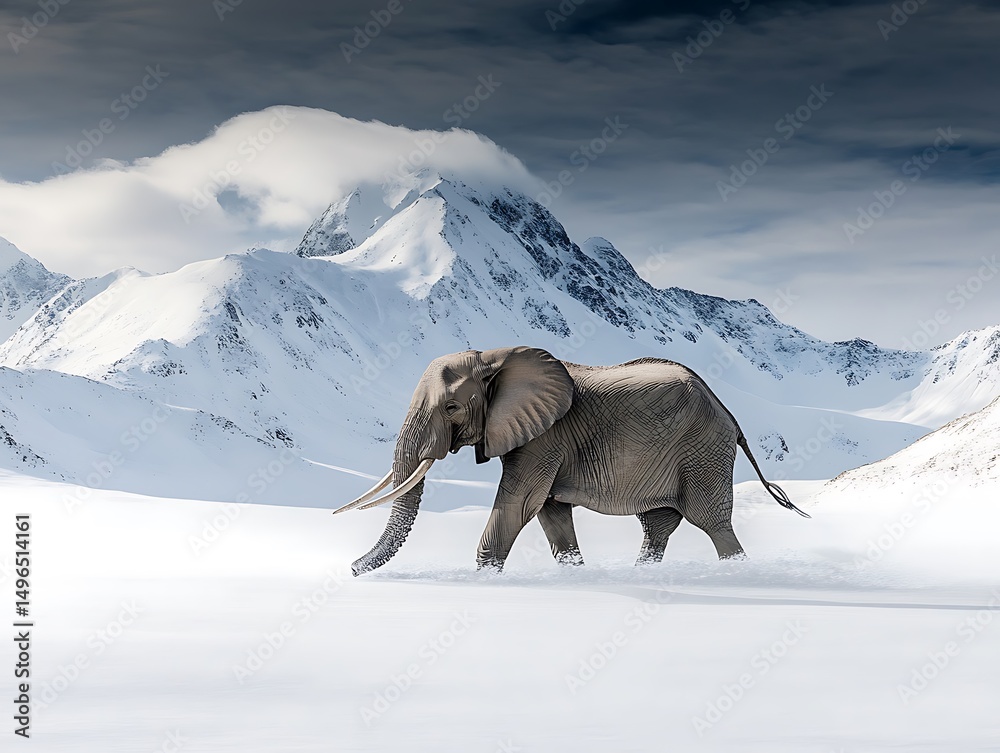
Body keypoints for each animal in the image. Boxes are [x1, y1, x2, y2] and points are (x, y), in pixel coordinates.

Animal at [335, 347, 809, 576]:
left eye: (451, 408)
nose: (351, 570)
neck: (495, 357)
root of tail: (729, 413)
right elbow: (550, 512)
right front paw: (573, 574)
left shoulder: (545, 437)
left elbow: (520, 503)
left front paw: (484, 579)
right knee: (658, 526)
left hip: (703, 450)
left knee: (711, 522)